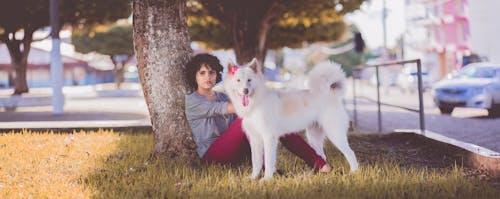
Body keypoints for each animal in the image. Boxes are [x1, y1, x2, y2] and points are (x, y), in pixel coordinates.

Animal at [224, 58, 360, 180]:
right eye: (238, 80)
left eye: (249, 80)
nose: (245, 90)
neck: (256, 102)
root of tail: (329, 93)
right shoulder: (255, 140)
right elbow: (256, 162)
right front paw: (253, 178)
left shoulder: (269, 137)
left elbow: (268, 161)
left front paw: (266, 179)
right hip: (314, 137)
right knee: (322, 155)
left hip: (335, 134)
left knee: (350, 153)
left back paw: (354, 172)